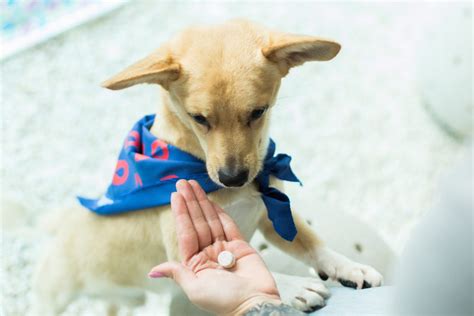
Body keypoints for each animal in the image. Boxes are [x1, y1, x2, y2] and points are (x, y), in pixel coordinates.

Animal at [32, 19, 382, 314]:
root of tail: (59, 227)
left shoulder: (270, 214)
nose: (232, 177)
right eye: (198, 118)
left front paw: (349, 267)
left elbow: (312, 243)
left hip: (123, 298)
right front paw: (294, 287)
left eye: (259, 111)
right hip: (55, 296)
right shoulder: (183, 251)